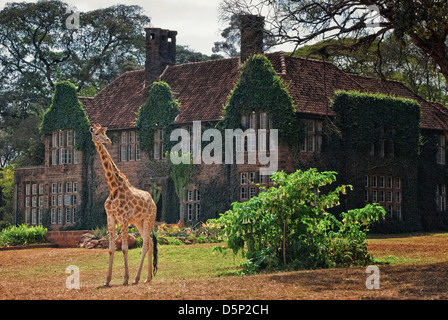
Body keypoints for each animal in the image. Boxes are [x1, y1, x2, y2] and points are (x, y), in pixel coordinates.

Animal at [89, 124, 158, 286]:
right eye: (96, 133)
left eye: (104, 133)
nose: (108, 140)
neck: (113, 188)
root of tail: (153, 201)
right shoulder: (110, 218)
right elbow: (111, 249)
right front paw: (107, 281)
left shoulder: (124, 219)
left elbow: (125, 248)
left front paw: (125, 279)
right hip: (139, 221)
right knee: (150, 243)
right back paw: (147, 278)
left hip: (149, 219)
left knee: (145, 244)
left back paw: (136, 278)